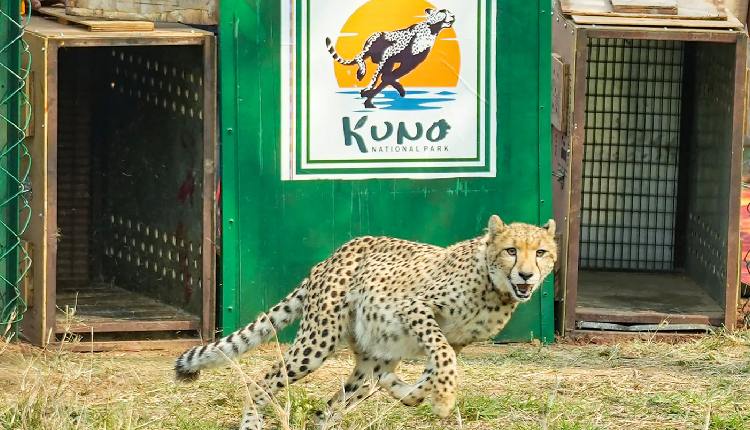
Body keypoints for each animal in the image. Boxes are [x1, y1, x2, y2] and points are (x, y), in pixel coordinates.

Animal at [175, 215, 557, 429]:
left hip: (369, 360)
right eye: (511, 250)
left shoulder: (457, 340)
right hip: (316, 343)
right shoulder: (415, 307)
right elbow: (443, 359)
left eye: (540, 252)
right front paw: (444, 399)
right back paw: (251, 422)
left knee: (332, 407)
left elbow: (431, 372)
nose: (525, 275)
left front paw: (409, 392)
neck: (495, 289)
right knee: (265, 378)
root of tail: (335, 253)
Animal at [325, 8, 456, 109]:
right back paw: (361, 72)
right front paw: (368, 89)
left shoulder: (410, 63)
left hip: (388, 62)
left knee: (384, 72)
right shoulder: (388, 54)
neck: (432, 30)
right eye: (443, 11)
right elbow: (376, 77)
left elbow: (388, 77)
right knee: (359, 56)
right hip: (375, 42)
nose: (454, 15)